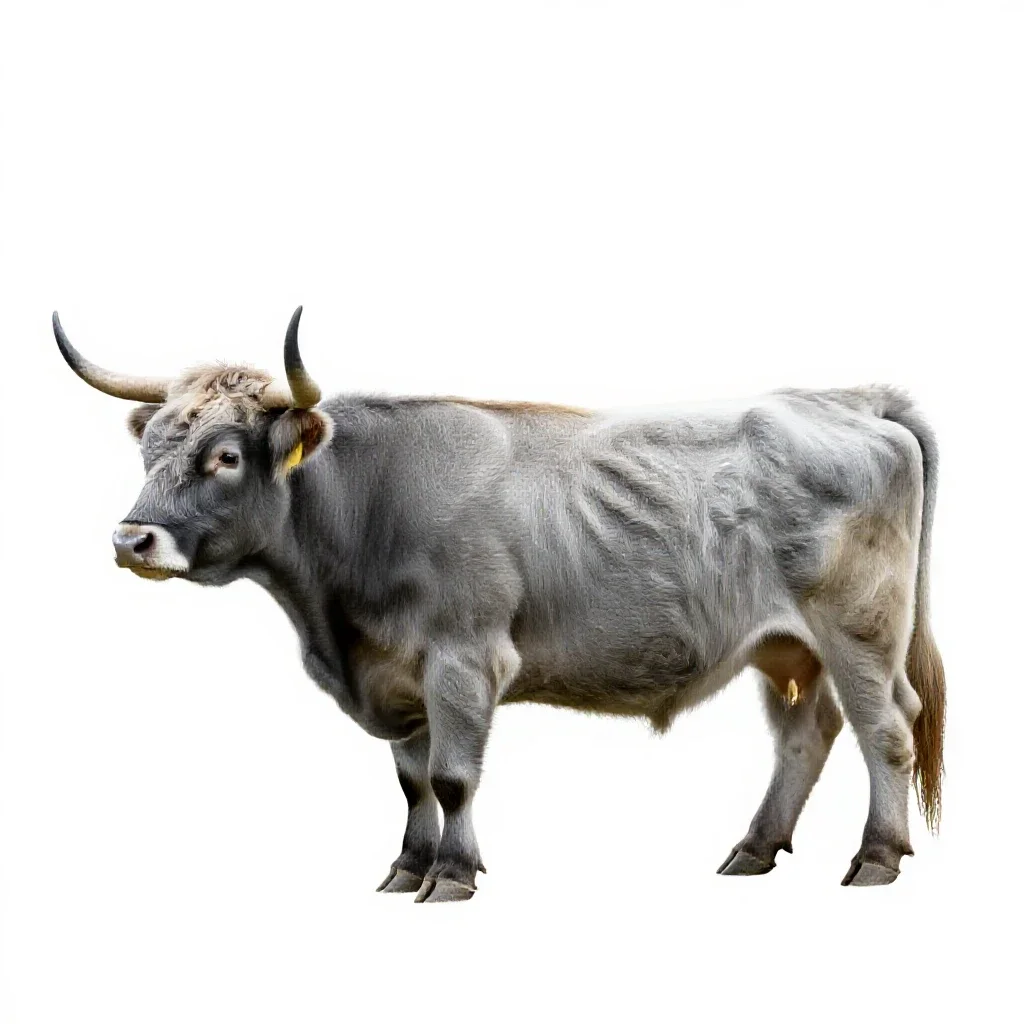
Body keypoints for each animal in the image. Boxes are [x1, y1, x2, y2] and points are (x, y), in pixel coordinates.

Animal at [53, 307, 945, 901]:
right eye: (149, 447)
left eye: (226, 456)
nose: (132, 540)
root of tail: (844, 398)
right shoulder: (398, 675)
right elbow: (412, 782)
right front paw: (405, 868)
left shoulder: (464, 657)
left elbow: (452, 778)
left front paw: (451, 875)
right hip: (785, 646)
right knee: (806, 735)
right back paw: (755, 848)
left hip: (860, 629)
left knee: (886, 729)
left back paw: (876, 858)